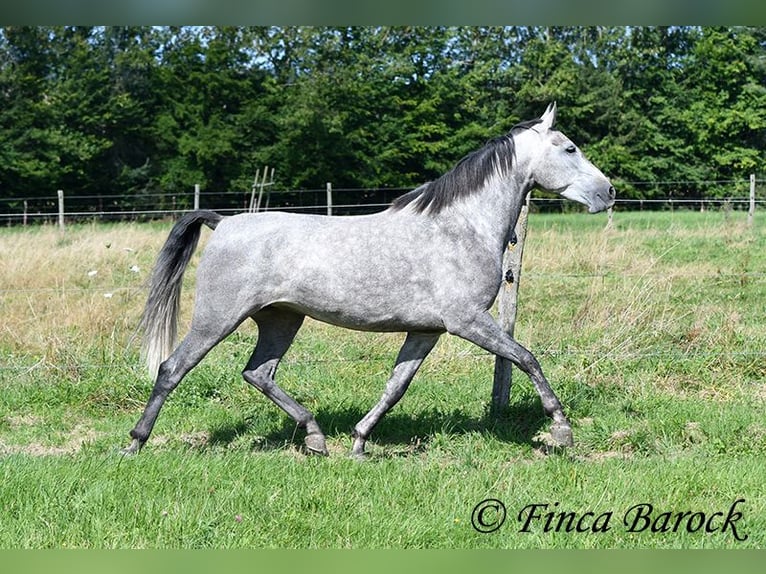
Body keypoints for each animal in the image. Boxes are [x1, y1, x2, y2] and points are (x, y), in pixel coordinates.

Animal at [126, 101, 616, 456]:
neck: (461, 226)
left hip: (282, 319)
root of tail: (223, 222)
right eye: (569, 148)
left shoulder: (427, 330)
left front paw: (361, 441)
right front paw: (561, 430)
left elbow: (396, 386)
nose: (608, 192)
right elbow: (527, 358)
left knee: (258, 373)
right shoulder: (468, 321)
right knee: (172, 368)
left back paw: (316, 437)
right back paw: (135, 443)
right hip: (218, 317)